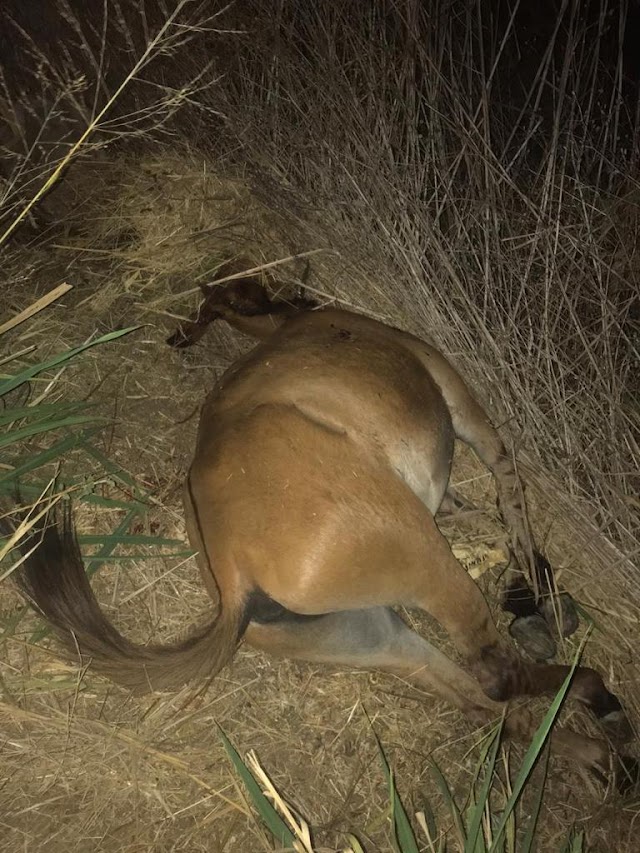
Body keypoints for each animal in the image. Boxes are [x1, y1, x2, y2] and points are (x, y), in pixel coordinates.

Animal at [7, 272, 636, 792]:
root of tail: (235, 576)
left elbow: (485, 517)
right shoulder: (458, 402)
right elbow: (510, 493)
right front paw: (540, 595)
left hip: (368, 634)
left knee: (481, 702)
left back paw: (603, 755)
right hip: (422, 559)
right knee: (495, 675)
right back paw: (599, 705)